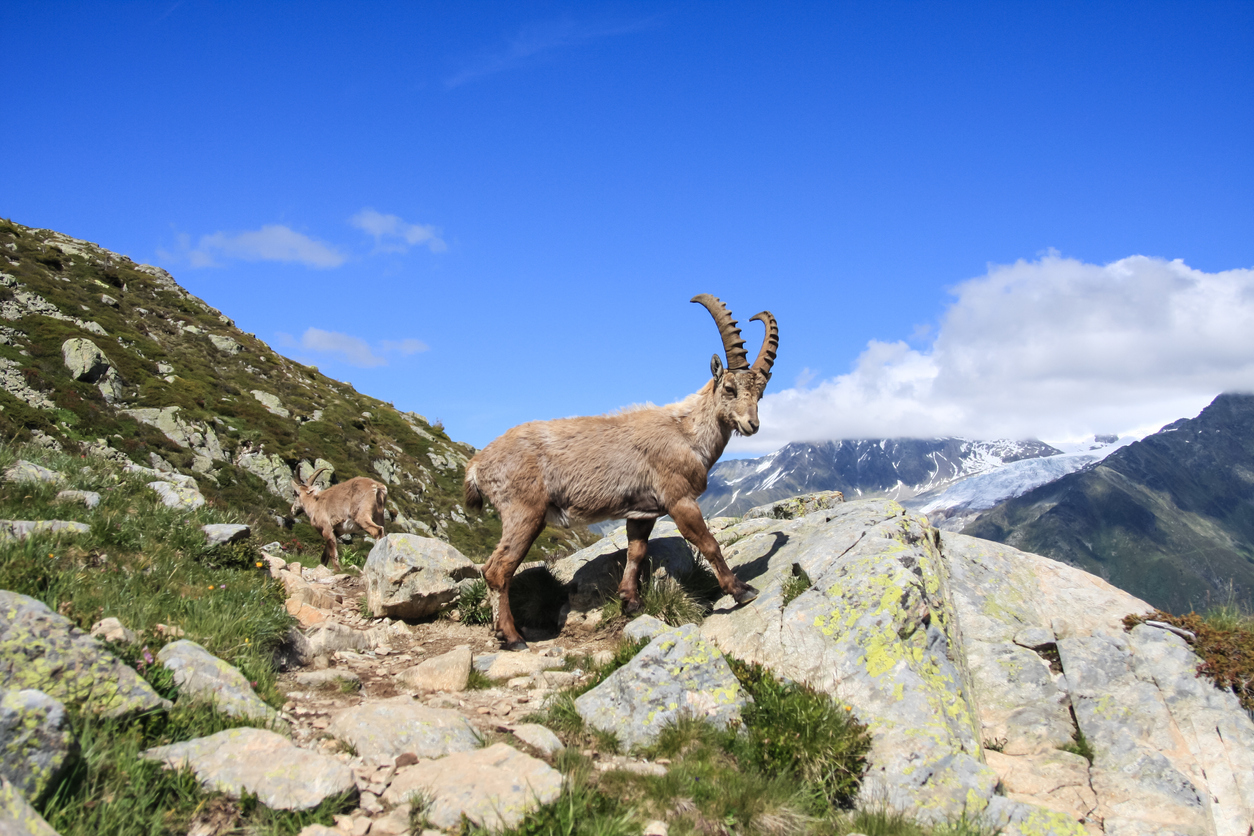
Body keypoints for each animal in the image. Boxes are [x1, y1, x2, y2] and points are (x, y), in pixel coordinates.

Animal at [464, 294, 778, 650]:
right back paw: (513, 636)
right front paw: (741, 590)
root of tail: (478, 464)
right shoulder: (679, 499)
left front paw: (630, 601)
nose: (752, 425)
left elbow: (636, 552)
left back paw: (502, 631)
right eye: (729, 388)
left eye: (760, 392)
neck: (686, 434)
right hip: (524, 512)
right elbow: (708, 543)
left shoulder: (642, 511)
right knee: (498, 570)